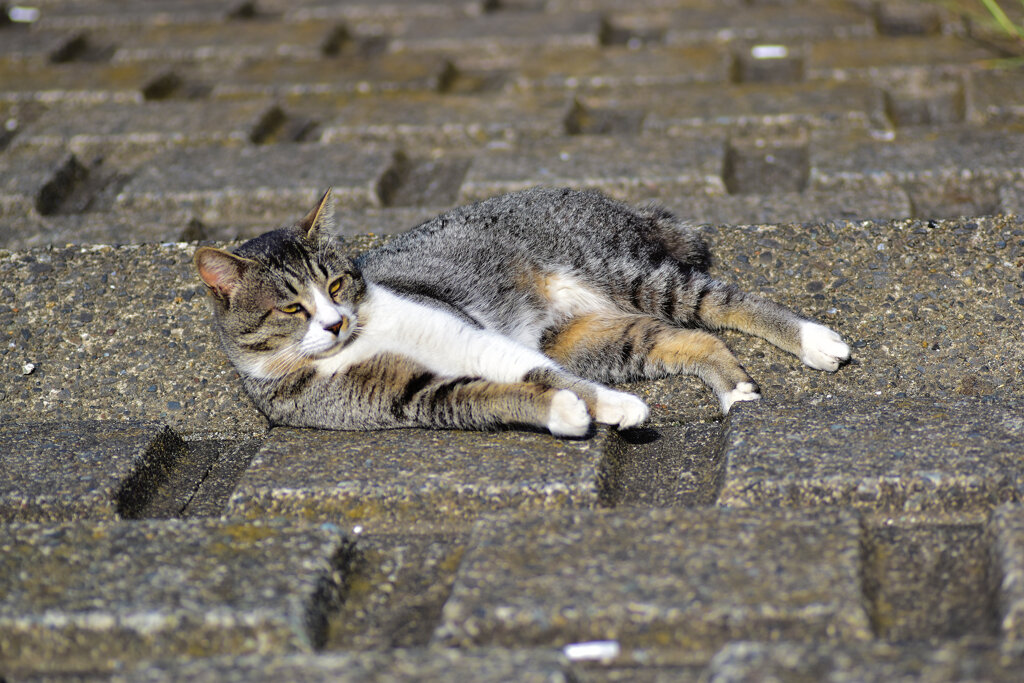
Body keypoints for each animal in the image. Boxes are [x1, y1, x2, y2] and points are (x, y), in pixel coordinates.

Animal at [192, 185, 847, 438]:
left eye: (335, 282)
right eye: (290, 308)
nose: (335, 322)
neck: (355, 345)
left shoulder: (459, 331)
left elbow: (534, 371)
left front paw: (612, 407)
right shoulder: (408, 397)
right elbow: (491, 395)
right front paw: (566, 414)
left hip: (625, 271)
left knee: (725, 301)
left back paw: (816, 341)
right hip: (595, 335)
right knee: (688, 339)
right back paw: (734, 389)